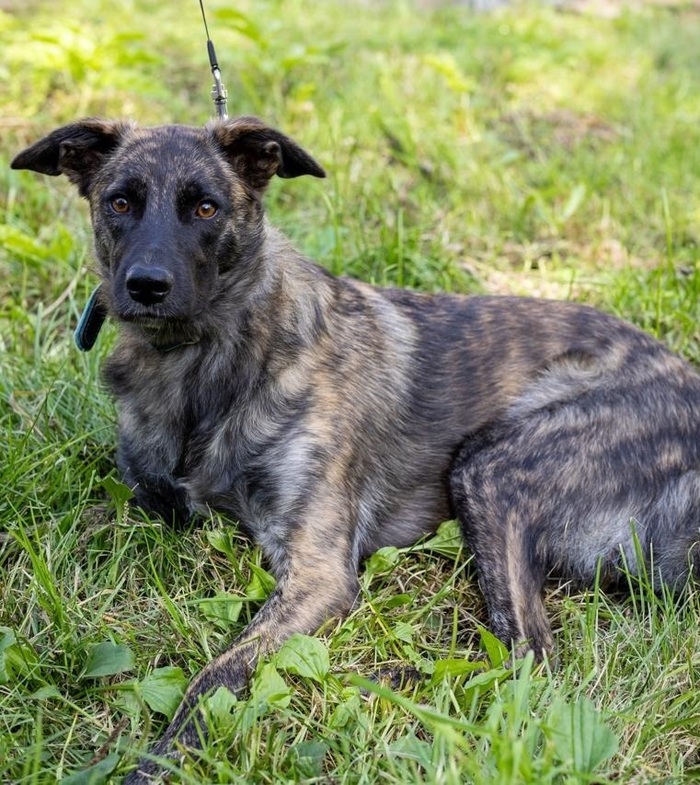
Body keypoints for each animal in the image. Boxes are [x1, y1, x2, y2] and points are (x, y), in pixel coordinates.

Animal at [12, 117, 700, 781]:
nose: (146, 286)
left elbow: (216, 675)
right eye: (120, 202)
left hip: (491, 465)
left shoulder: (319, 574)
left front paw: (158, 760)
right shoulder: (148, 501)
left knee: (533, 663)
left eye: (205, 208)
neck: (205, 361)